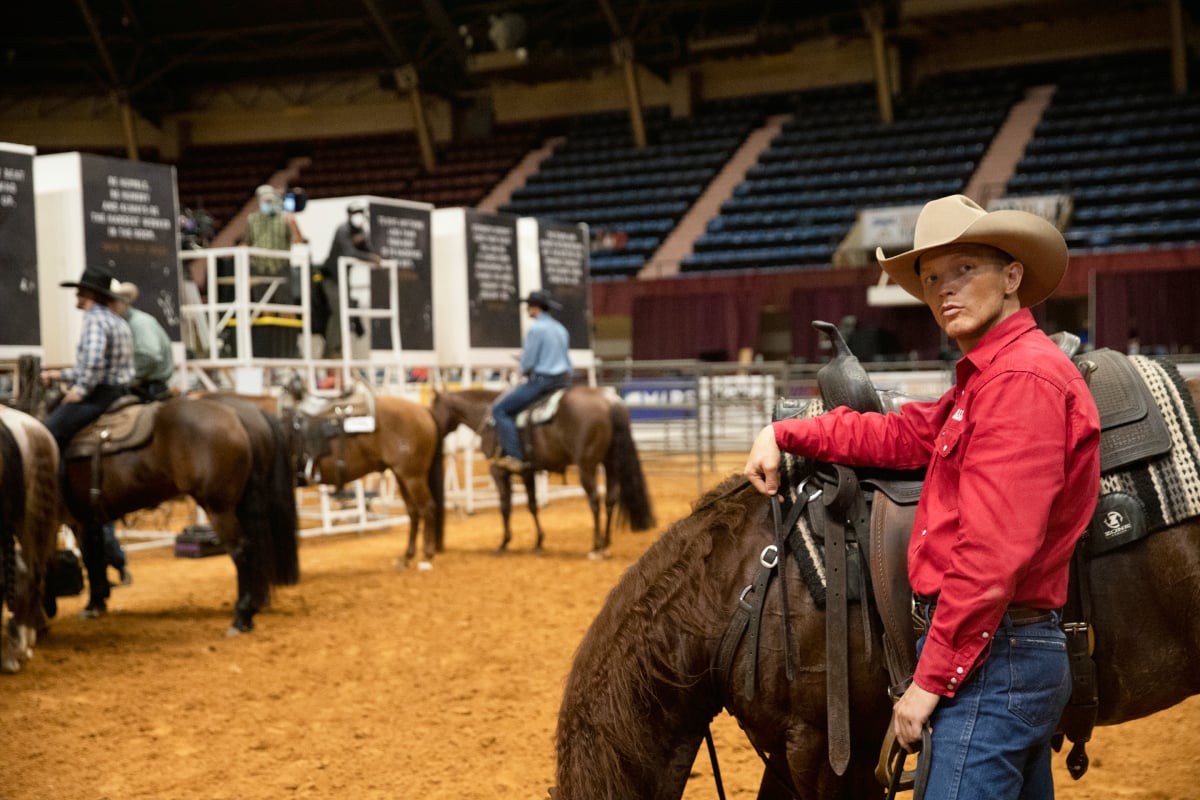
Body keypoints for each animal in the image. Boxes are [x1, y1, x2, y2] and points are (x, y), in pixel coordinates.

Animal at [54, 395, 302, 638]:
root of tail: (239, 412)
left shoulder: (79, 521)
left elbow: (90, 559)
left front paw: (92, 605)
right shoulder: (92, 520)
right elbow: (98, 557)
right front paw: (99, 600)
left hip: (219, 508)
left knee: (242, 552)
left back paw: (242, 617)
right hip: (244, 504)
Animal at [432, 388, 657, 556]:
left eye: (432, 408)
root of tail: (609, 401)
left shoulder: (498, 470)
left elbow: (505, 507)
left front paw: (504, 543)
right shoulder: (527, 472)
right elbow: (532, 506)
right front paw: (538, 542)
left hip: (587, 466)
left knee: (594, 500)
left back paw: (596, 546)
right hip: (610, 463)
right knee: (610, 499)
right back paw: (607, 543)